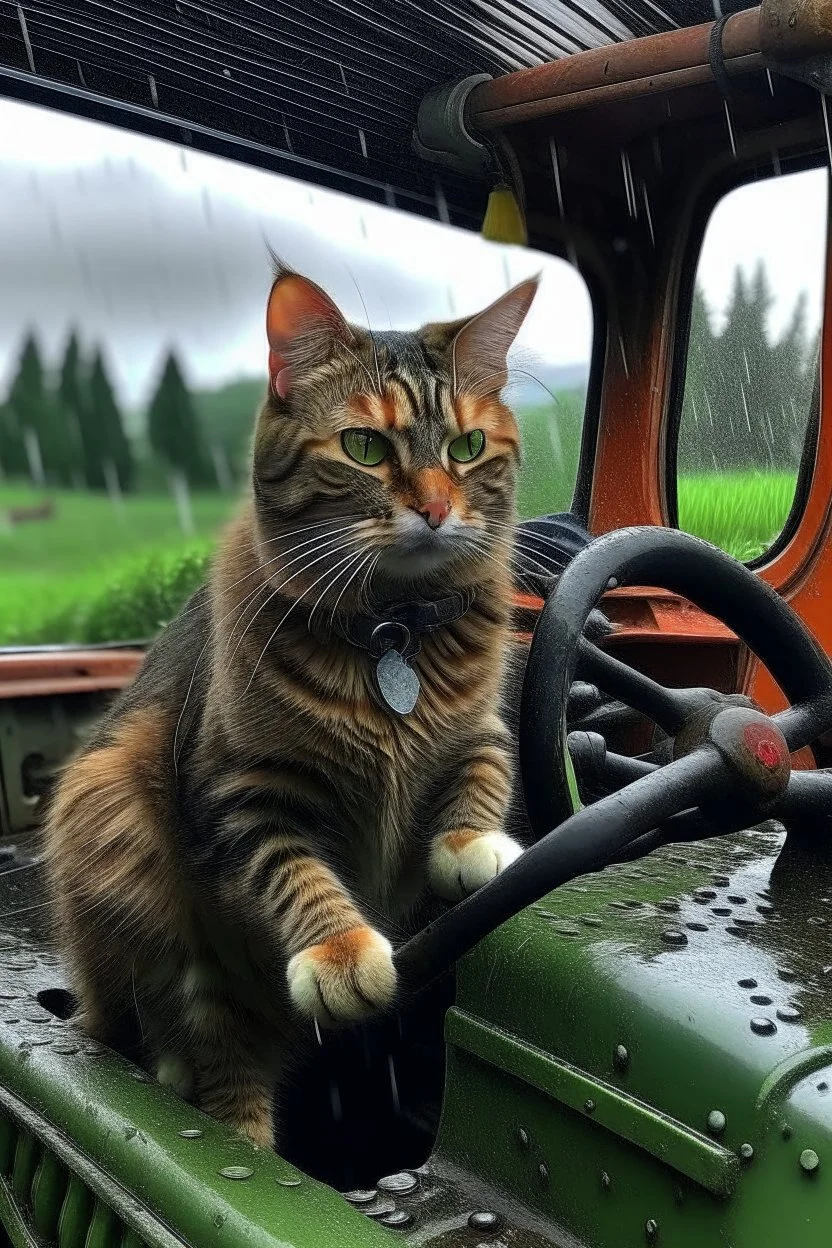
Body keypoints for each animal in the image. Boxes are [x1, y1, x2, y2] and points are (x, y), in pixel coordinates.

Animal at [43, 265, 541, 1148]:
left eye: (467, 447)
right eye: (366, 447)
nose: (436, 508)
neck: (394, 631)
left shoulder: (481, 724)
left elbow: (482, 768)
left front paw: (472, 844)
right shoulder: (243, 788)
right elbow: (295, 871)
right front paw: (339, 951)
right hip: (118, 823)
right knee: (211, 1057)